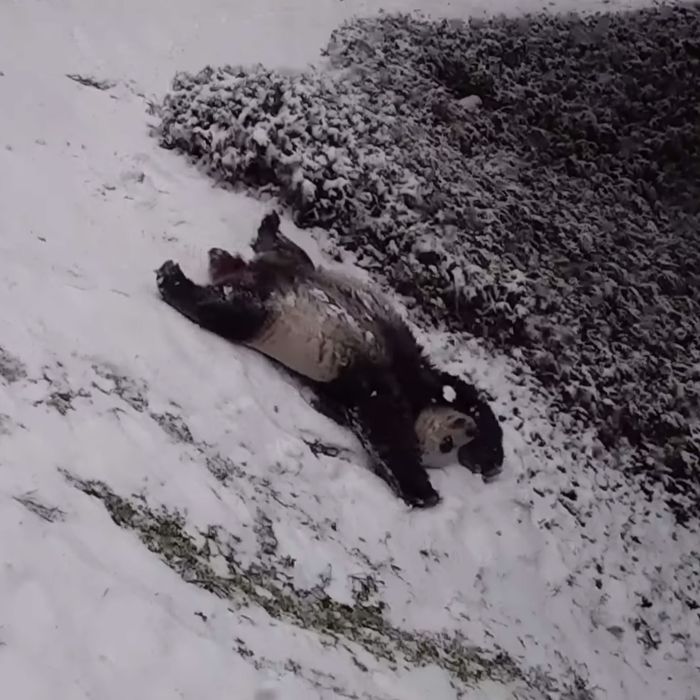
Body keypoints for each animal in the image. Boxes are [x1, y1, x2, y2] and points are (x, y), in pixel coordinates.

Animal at [155, 211, 504, 508]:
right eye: (446, 444)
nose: (465, 432)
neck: (418, 405)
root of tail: (247, 271)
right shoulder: (391, 378)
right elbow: (392, 422)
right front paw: (423, 489)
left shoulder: (389, 379)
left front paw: (481, 458)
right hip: (275, 314)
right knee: (233, 309)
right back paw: (176, 278)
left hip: (276, 291)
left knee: (259, 279)